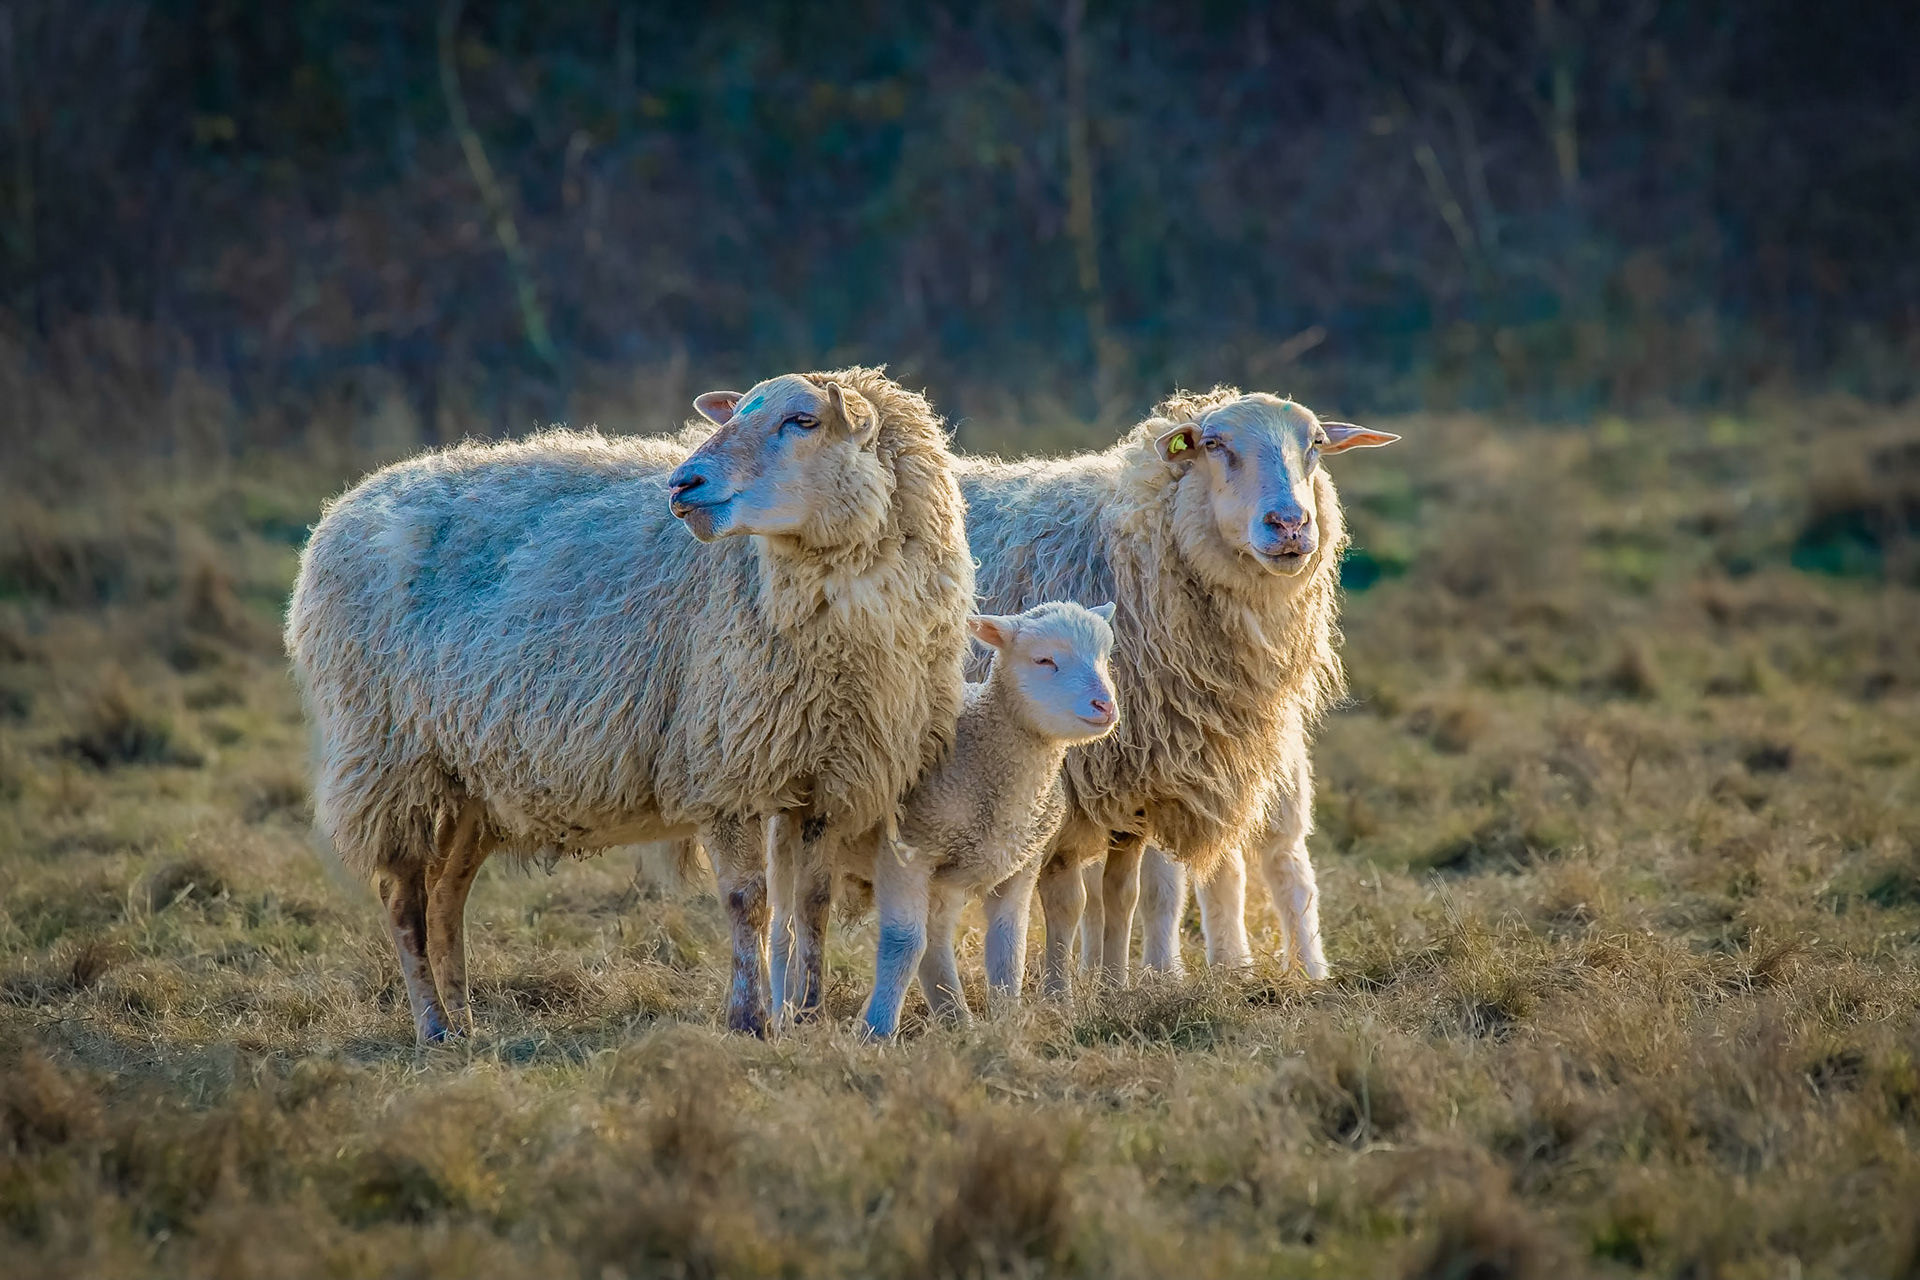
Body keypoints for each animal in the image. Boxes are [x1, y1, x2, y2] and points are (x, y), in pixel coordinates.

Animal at [285, 368, 974, 1042]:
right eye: (738, 412)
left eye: (802, 420)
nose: (683, 482)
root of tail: (347, 505)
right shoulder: (720, 769)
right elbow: (748, 901)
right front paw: (749, 1022)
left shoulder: (826, 777)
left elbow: (812, 902)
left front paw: (806, 1018)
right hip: (388, 758)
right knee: (405, 900)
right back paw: (431, 1025)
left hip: (466, 781)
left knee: (447, 894)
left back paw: (464, 1022)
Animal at [859, 601, 1120, 1039]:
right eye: (1044, 660)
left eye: (1104, 658)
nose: (1105, 706)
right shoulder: (906, 852)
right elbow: (904, 943)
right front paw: (876, 1030)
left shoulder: (1019, 863)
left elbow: (1007, 949)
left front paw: (1007, 1021)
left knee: (937, 936)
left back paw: (955, 1017)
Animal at [956, 389, 1397, 992]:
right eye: (1213, 444)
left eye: (1316, 443)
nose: (1289, 523)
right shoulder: (1095, 779)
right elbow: (1083, 894)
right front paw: (1081, 985)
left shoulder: (1168, 771)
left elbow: (1147, 891)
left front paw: (1138, 979)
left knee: (1277, 861)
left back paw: (1299, 969)